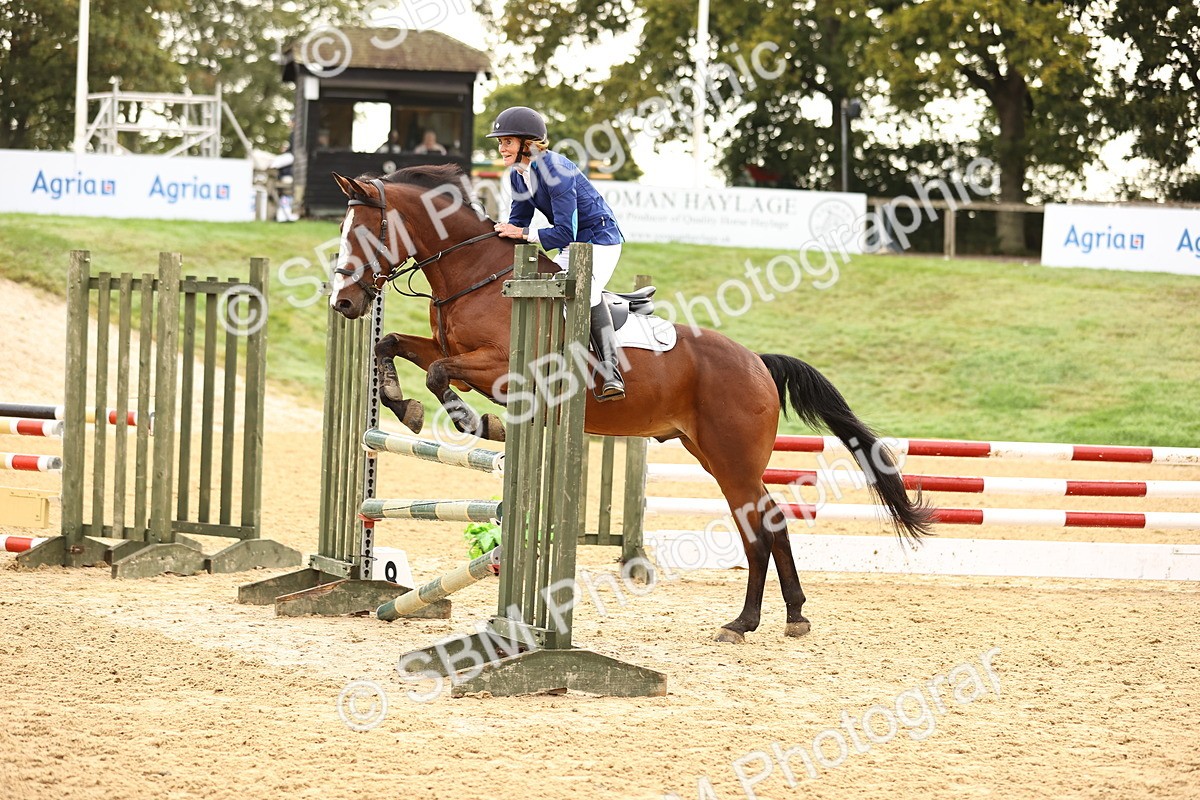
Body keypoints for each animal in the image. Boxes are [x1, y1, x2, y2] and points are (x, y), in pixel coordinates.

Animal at [329, 164, 934, 644]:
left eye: (362, 233)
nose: (344, 303)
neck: (479, 277)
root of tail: (758, 363)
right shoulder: (451, 349)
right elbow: (392, 345)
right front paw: (397, 401)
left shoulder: (502, 369)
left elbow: (438, 373)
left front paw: (474, 422)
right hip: (711, 455)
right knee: (765, 524)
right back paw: (783, 616)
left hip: (732, 458)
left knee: (762, 526)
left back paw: (748, 621)